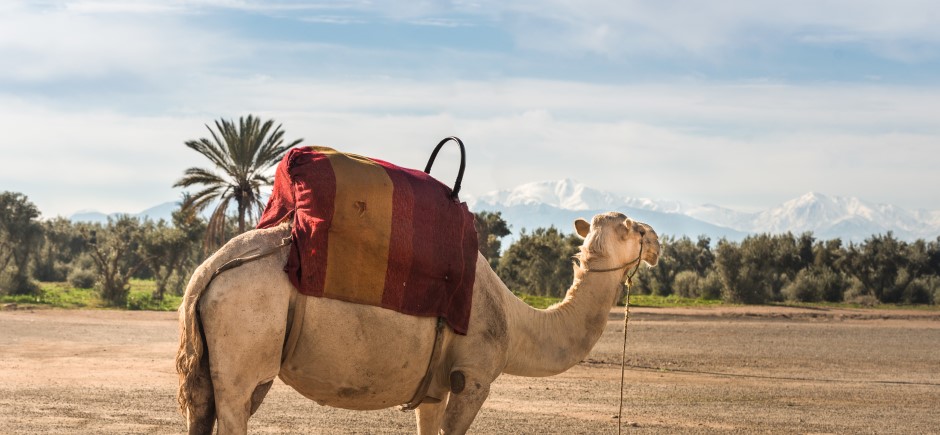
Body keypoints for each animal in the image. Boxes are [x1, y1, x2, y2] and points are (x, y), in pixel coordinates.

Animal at [178, 211, 660, 432]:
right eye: (635, 228)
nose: (657, 241)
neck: (515, 321)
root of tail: (208, 271)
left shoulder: (434, 387)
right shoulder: (473, 378)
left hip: (222, 362)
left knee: (202, 410)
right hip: (245, 346)